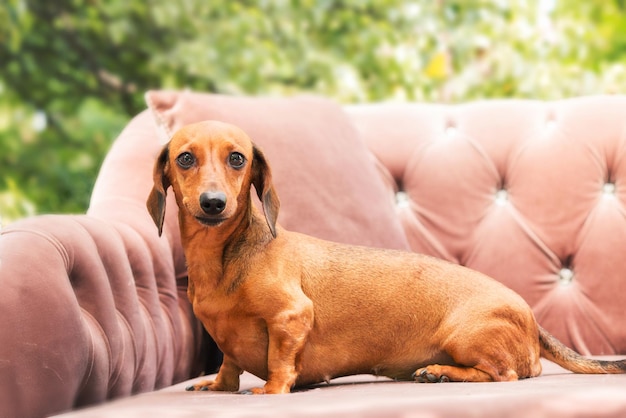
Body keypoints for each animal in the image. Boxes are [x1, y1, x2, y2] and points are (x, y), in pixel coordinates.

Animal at [147, 120, 624, 392]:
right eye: (184, 158)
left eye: (237, 159)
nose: (213, 204)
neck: (223, 257)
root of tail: (530, 317)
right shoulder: (228, 341)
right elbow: (229, 365)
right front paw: (218, 386)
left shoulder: (291, 316)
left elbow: (280, 361)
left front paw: (271, 391)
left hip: (465, 335)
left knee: (504, 374)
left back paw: (442, 373)